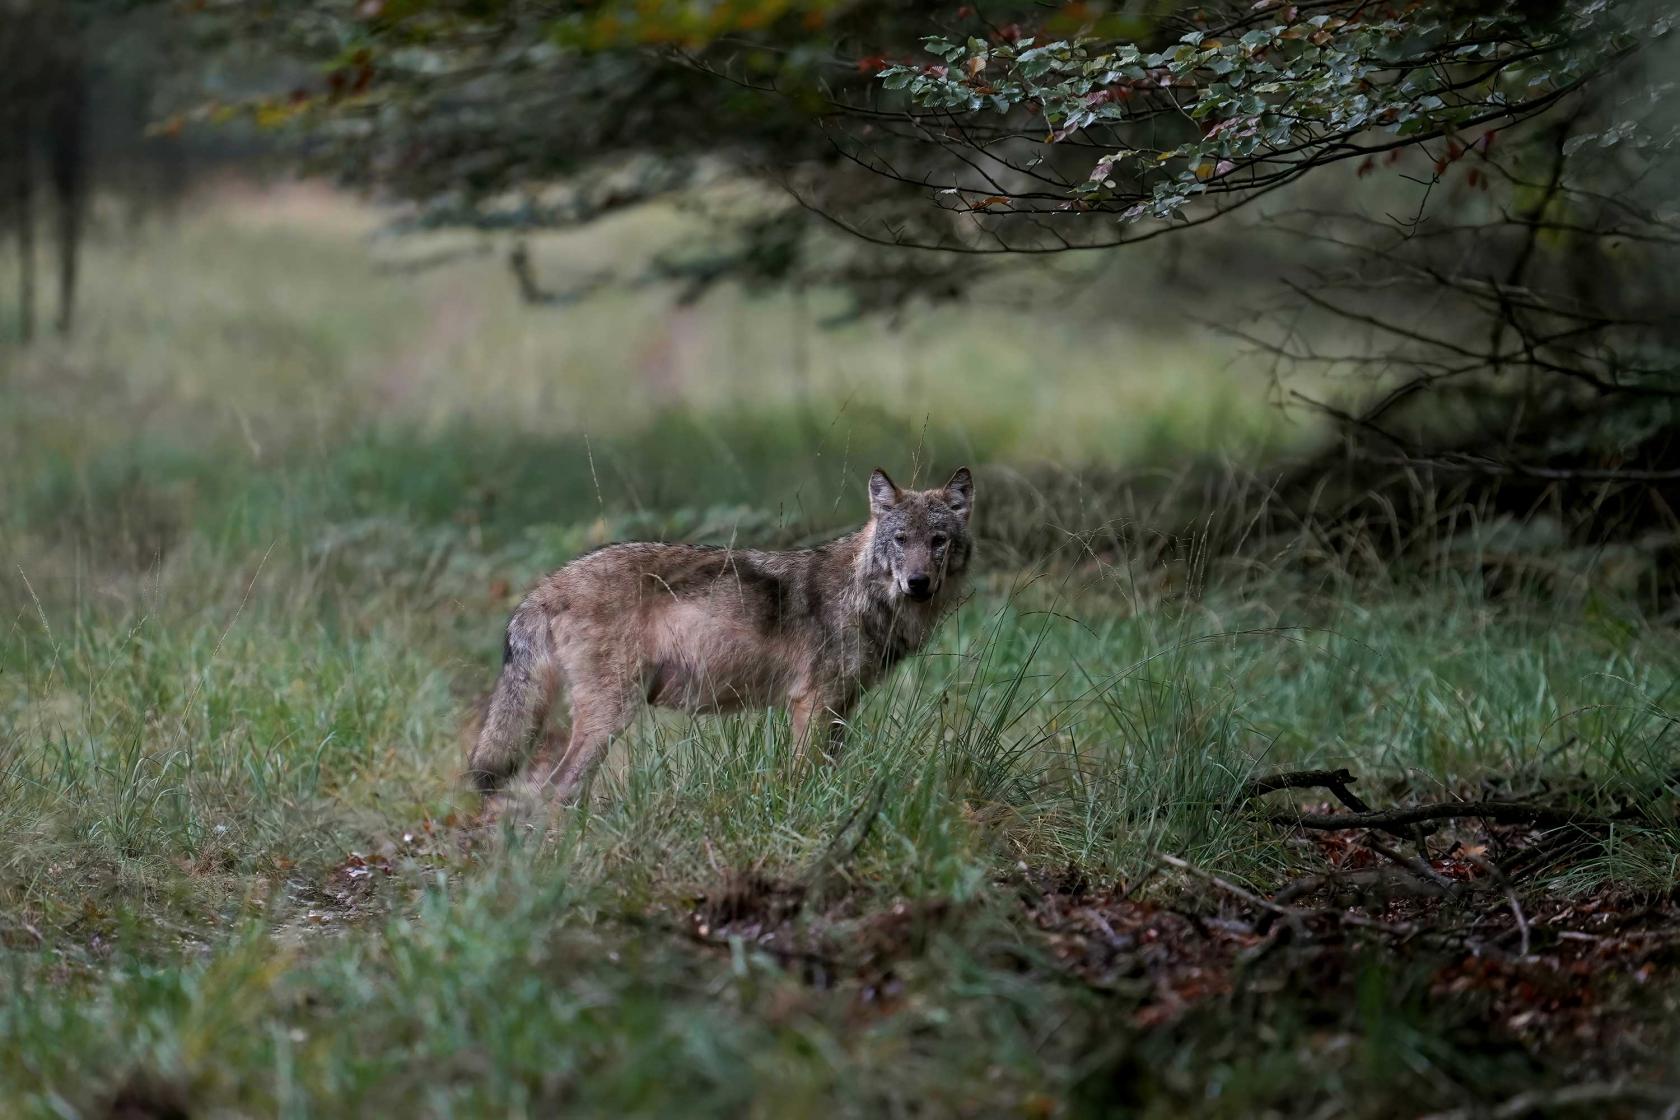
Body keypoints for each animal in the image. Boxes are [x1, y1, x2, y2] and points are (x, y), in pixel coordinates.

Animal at [467, 466, 975, 802]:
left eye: (938, 541)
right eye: (901, 540)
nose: (918, 583)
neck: (862, 595)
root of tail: (547, 584)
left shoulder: (842, 707)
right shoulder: (812, 703)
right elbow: (803, 777)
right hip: (611, 715)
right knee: (556, 790)